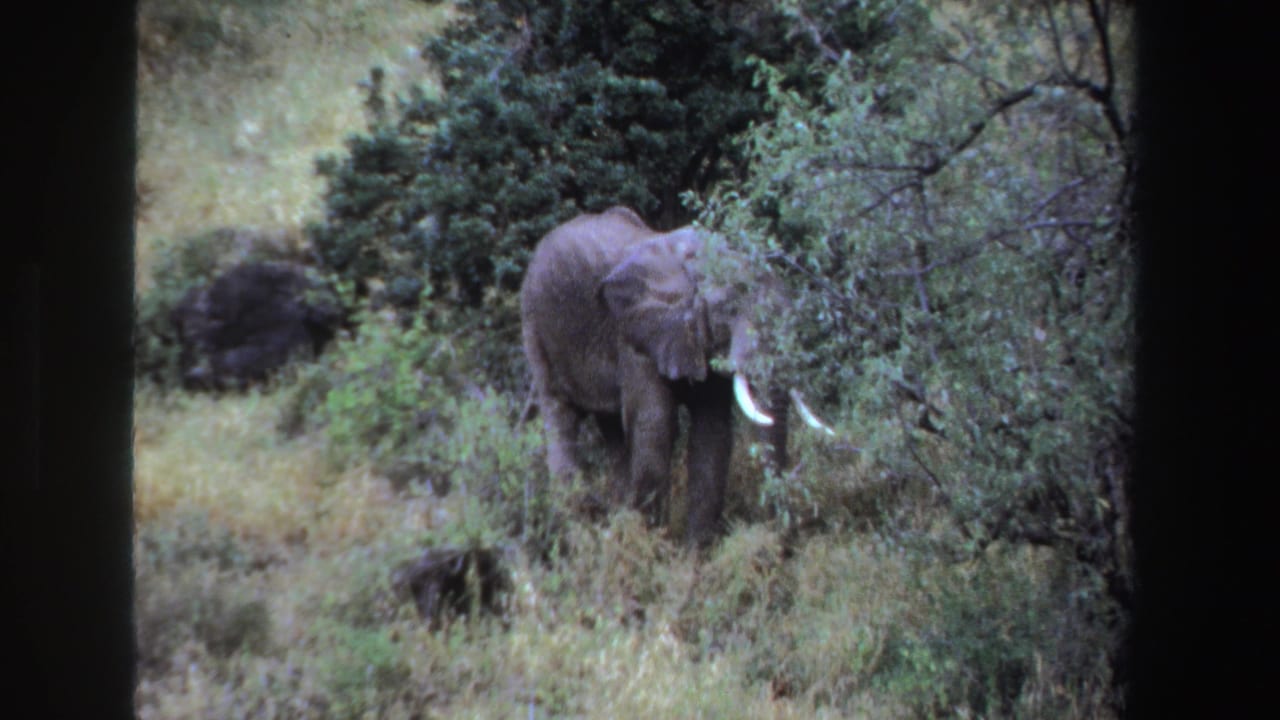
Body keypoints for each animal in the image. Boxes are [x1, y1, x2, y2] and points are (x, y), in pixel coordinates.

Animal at [520, 206, 832, 547]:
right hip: (536, 328)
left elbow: (713, 432)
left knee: (612, 430)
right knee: (560, 418)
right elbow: (656, 423)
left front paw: (694, 554)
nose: (784, 543)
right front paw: (653, 548)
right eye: (730, 308)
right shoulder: (635, 333)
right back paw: (577, 533)